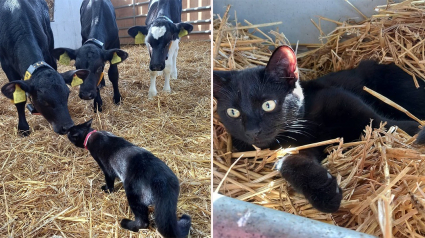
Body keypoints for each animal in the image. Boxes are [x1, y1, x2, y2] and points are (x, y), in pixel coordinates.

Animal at [0, 0, 88, 136]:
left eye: (67, 94)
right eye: (44, 101)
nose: (67, 127)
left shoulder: (48, 53)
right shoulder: (6, 66)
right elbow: (19, 99)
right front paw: (23, 128)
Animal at [214, 45, 424, 213]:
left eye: (268, 105)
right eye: (233, 112)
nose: (252, 131)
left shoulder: (340, 98)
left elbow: (378, 121)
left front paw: (414, 130)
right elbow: (290, 163)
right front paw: (325, 193)